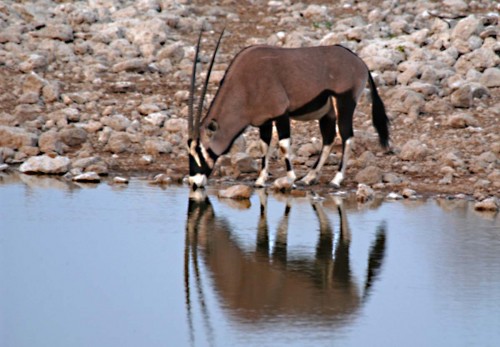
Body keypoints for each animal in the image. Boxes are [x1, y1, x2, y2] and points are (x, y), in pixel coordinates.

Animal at [188, 30, 390, 190]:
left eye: (201, 150)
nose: (194, 182)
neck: (245, 84)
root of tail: (360, 62)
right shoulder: (264, 121)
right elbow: (264, 146)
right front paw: (260, 180)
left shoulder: (281, 114)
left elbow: (283, 145)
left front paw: (290, 178)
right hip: (327, 112)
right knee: (329, 138)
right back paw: (309, 178)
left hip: (344, 103)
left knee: (347, 137)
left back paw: (336, 180)